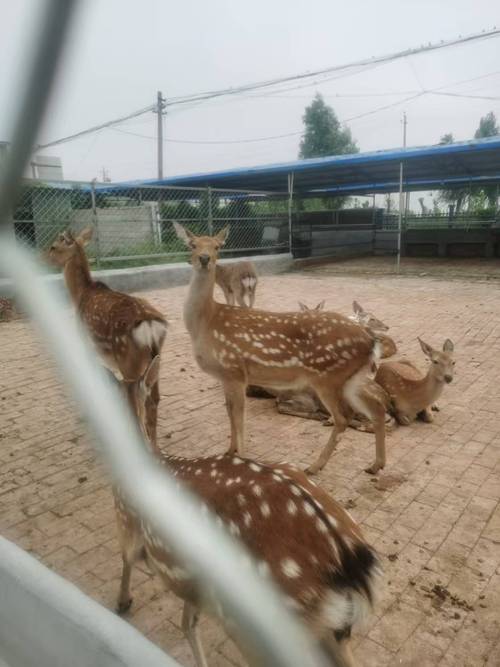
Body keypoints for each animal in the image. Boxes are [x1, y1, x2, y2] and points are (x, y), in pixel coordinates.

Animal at [47, 227, 167, 446]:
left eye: (53, 246)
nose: (41, 257)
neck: (79, 296)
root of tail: (150, 325)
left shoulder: (85, 343)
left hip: (128, 360)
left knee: (137, 405)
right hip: (157, 359)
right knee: (153, 400)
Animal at [114, 355, 381, 667]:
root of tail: (349, 564)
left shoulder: (127, 520)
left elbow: (127, 559)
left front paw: (122, 602)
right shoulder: (195, 582)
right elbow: (187, 622)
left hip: (257, 622)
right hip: (331, 629)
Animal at [173, 223, 384, 476]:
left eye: (217, 246)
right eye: (192, 244)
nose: (204, 259)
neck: (206, 321)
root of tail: (371, 340)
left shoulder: (235, 371)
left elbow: (239, 418)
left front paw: (242, 459)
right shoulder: (225, 376)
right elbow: (230, 414)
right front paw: (229, 451)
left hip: (327, 376)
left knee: (343, 418)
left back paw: (314, 467)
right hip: (352, 378)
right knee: (375, 406)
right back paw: (375, 465)